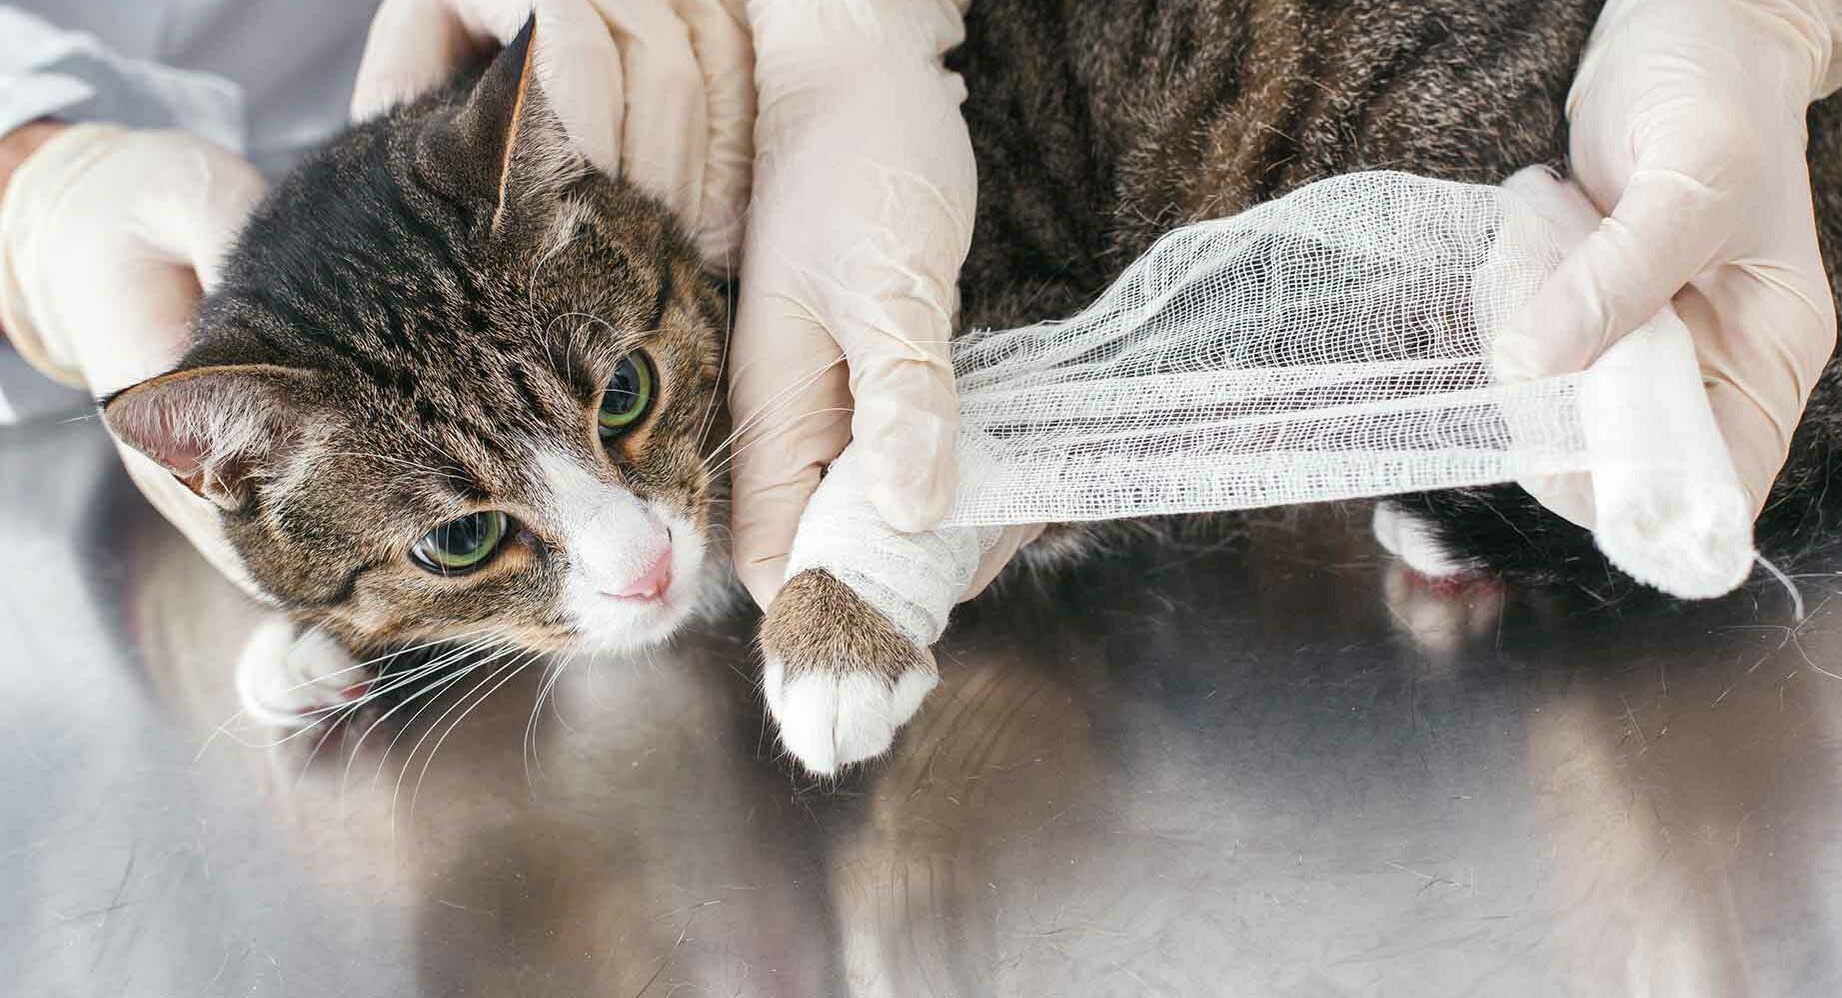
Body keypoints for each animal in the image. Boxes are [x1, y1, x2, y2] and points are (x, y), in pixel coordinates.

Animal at [100, 1, 1842, 780]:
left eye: (624, 392)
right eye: (458, 538)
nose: (643, 566)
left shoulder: (988, 297)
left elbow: (905, 462)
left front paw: (829, 635)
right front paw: (314, 652)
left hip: (1401, 139)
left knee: (1562, 256)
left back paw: (1658, 495)